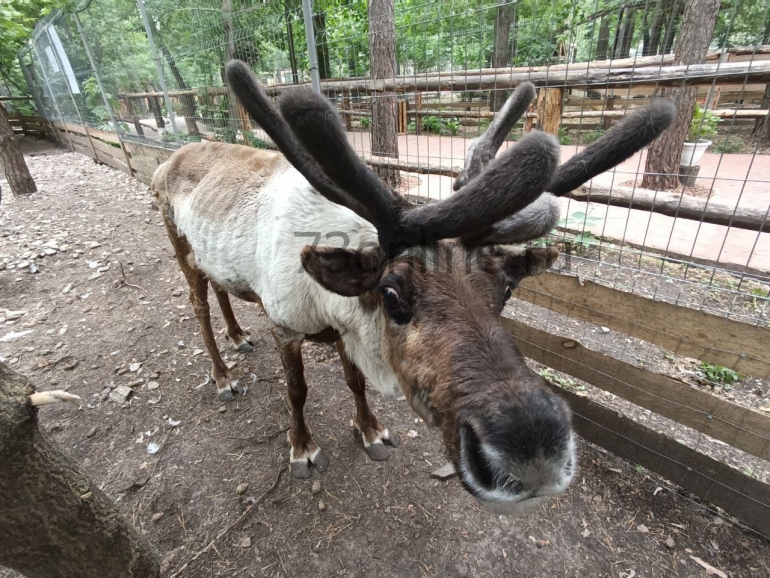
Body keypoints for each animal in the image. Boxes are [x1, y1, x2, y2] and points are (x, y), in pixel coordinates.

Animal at [151, 60, 675, 515]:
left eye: (507, 291)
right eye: (392, 295)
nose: (534, 454)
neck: (329, 302)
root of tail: (171, 157)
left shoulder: (344, 330)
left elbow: (355, 382)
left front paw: (371, 431)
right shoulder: (287, 325)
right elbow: (298, 391)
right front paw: (302, 448)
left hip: (212, 258)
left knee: (222, 290)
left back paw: (239, 335)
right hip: (180, 248)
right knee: (198, 307)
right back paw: (223, 376)